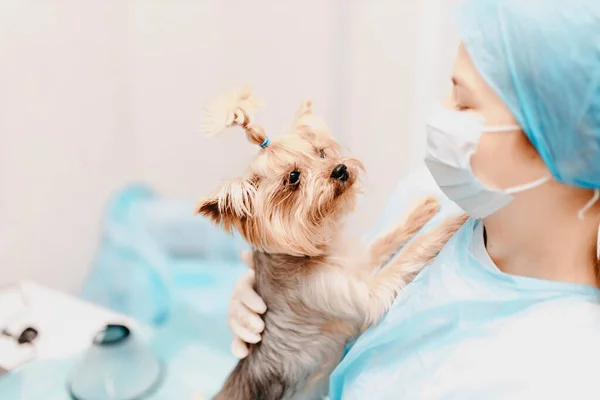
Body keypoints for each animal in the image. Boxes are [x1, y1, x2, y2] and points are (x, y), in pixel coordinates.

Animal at [195, 88, 466, 400]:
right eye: (293, 177)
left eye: (320, 153)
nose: (340, 169)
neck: (313, 254)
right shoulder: (360, 294)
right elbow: (410, 252)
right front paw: (454, 221)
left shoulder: (356, 264)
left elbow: (384, 241)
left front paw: (422, 209)